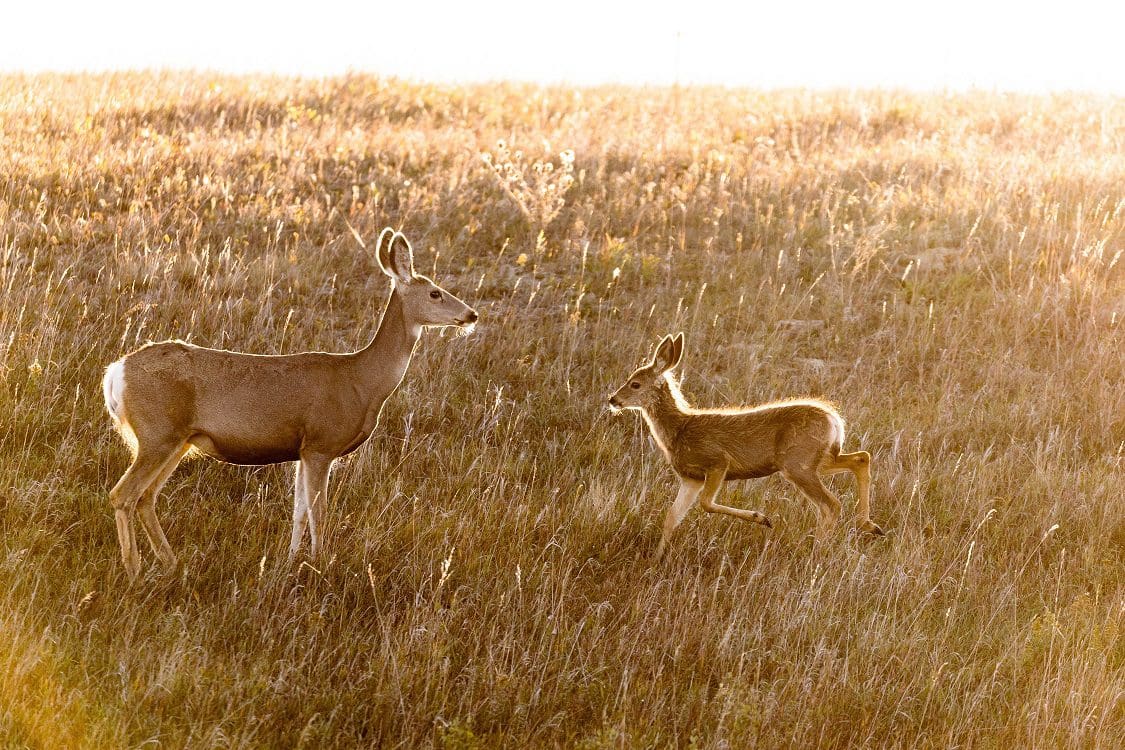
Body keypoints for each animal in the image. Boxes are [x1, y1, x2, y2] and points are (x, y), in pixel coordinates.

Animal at [103, 227, 477, 580]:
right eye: (435, 292)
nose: (471, 315)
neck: (361, 381)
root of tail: (116, 372)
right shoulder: (321, 443)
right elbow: (318, 511)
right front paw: (321, 564)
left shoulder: (302, 450)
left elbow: (298, 512)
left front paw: (291, 560)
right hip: (158, 434)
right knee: (123, 495)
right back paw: (134, 572)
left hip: (177, 441)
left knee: (145, 497)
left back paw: (171, 564)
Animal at [612, 332, 882, 557]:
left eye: (635, 383)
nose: (612, 399)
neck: (680, 430)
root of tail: (834, 419)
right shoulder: (691, 479)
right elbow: (671, 517)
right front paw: (656, 559)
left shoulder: (717, 461)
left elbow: (706, 504)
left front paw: (762, 518)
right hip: (818, 459)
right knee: (861, 458)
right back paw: (869, 525)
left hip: (798, 464)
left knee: (832, 504)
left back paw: (818, 549)